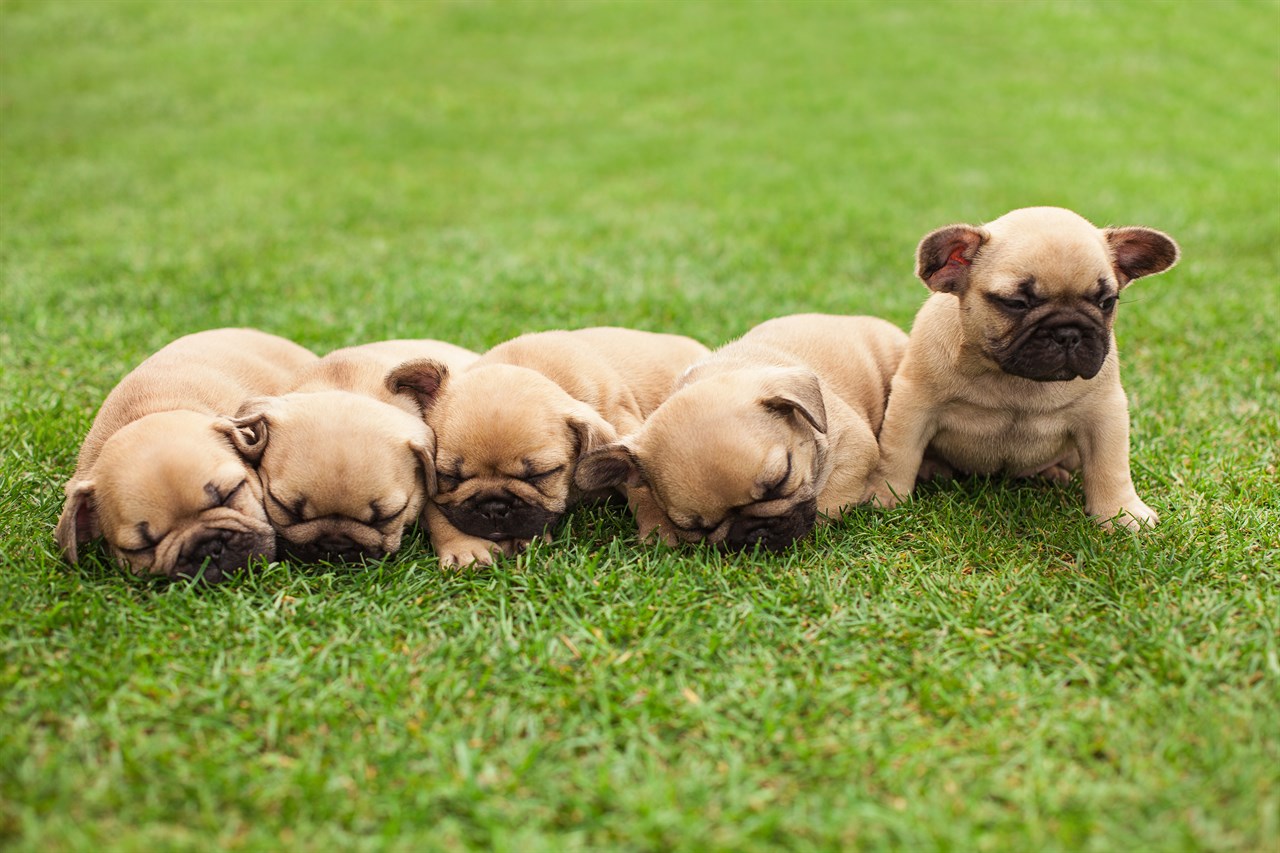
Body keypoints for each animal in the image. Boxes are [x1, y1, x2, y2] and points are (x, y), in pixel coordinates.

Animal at [389, 327, 711, 568]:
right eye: (450, 477)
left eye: (540, 475)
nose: (494, 507)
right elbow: (435, 510)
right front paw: (462, 546)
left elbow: (641, 488)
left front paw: (660, 531)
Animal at [870, 206, 1177, 525]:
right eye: (1016, 303)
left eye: (1106, 302)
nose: (1068, 333)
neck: (1014, 378)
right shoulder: (913, 404)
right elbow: (898, 454)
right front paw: (886, 497)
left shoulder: (1104, 413)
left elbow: (1110, 465)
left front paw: (1121, 513)